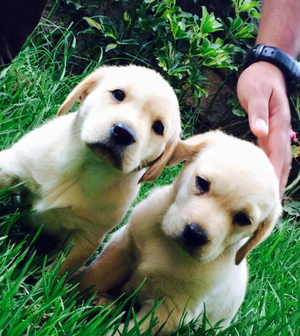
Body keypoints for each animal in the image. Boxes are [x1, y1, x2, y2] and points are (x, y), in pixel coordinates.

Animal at [0, 65, 180, 272]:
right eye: (118, 94)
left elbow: (58, 270)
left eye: (158, 127)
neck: (84, 166)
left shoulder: (86, 237)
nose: (123, 133)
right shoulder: (12, 166)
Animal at [79, 131, 282, 334]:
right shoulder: (124, 249)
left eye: (243, 219)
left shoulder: (170, 309)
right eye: (201, 183)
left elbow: (133, 330)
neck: (170, 247)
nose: (195, 234)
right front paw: (74, 294)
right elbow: (93, 277)